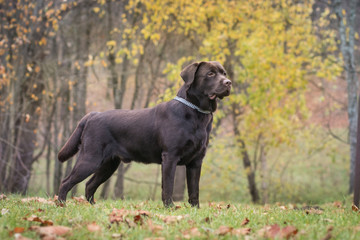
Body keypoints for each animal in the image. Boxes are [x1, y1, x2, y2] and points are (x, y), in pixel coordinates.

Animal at [56, 61, 231, 207]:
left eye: (224, 73)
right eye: (210, 74)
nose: (228, 82)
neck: (196, 113)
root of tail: (92, 115)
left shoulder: (196, 160)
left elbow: (194, 190)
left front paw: (195, 209)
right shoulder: (170, 156)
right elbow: (168, 186)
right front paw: (170, 208)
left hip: (108, 164)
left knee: (89, 185)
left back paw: (94, 207)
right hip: (90, 158)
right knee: (66, 182)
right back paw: (62, 205)